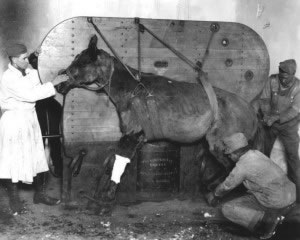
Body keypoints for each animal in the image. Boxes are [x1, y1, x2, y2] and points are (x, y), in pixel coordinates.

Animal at [55, 34, 262, 202]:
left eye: (81, 62)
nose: (59, 83)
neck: (132, 90)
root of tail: (251, 112)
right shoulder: (135, 138)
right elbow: (112, 161)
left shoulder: (132, 135)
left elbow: (116, 163)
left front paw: (108, 195)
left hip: (219, 143)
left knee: (232, 167)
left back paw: (213, 191)